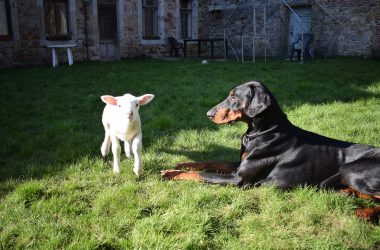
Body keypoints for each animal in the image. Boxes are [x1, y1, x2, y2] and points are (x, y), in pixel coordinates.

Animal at [161, 81, 380, 220]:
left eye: (234, 96)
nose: (208, 114)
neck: (260, 132)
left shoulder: (239, 180)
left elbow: (201, 174)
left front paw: (172, 173)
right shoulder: (238, 164)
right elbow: (208, 162)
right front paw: (183, 163)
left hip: (349, 170)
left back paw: (365, 212)